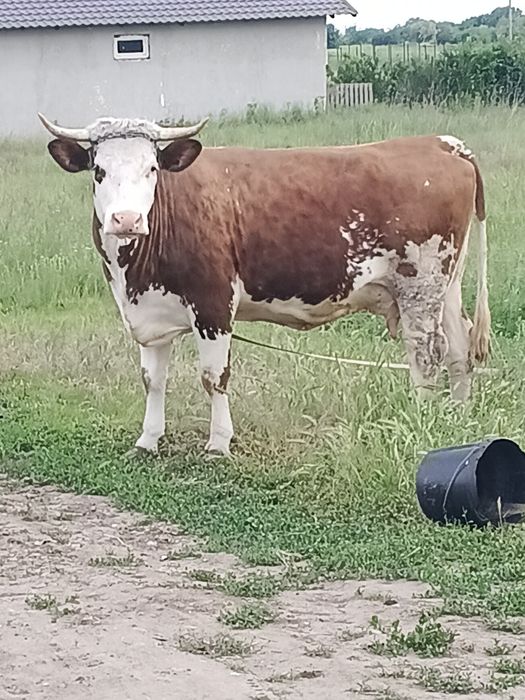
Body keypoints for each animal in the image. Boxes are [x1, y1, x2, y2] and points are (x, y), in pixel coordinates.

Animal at [39, 113, 490, 456]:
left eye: (151, 169)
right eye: (99, 171)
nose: (127, 220)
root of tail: (441, 143)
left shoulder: (213, 303)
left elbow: (214, 376)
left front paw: (218, 443)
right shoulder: (149, 312)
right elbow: (153, 379)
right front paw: (148, 440)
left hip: (421, 284)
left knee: (426, 356)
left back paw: (424, 420)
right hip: (447, 285)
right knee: (459, 348)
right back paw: (458, 417)